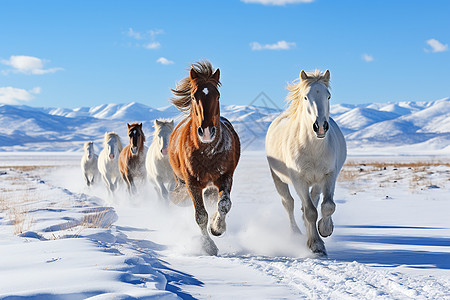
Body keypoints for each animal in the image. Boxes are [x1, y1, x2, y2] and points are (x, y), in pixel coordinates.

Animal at [168, 61, 239, 255]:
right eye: (193, 97)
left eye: (218, 95)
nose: (206, 131)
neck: (207, 152)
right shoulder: (192, 183)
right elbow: (200, 215)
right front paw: (208, 246)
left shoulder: (225, 177)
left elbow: (224, 204)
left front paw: (217, 227)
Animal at [266, 69, 346, 256]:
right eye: (305, 97)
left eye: (328, 96)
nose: (321, 126)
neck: (312, 147)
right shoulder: (299, 180)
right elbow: (310, 212)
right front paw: (316, 244)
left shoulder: (329, 175)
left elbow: (328, 206)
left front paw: (325, 229)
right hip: (278, 179)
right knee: (289, 203)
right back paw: (296, 234)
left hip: (316, 182)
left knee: (314, 200)